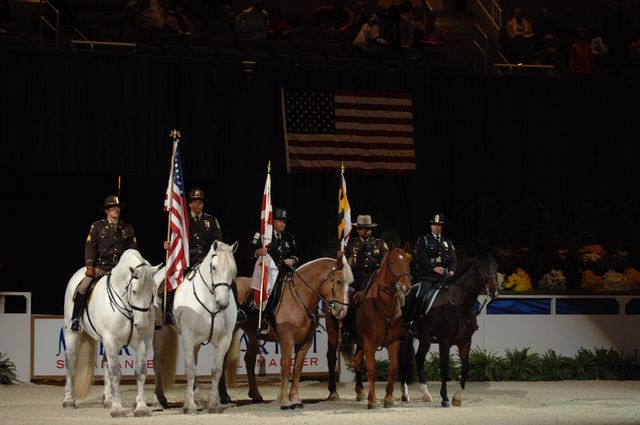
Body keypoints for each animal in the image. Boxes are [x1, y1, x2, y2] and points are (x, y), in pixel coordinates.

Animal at [62, 247, 161, 416]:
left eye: (153, 291)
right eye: (134, 291)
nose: (141, 324)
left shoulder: (142, 342)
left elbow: (140, 373)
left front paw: (141, 408)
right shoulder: (111, 340)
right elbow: (115, 374)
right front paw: (118, 409)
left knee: (105, 364)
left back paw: (108, 399)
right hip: (72, 334)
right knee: (70, 362)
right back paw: (68, 401)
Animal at [152, 240, 238, 412]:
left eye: (233, 270)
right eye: (214, 267)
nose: (222, 303)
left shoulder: (224, 340)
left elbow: (216, 370)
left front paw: (213, 404)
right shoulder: (188, 336)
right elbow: (190, 368)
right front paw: (189, 405)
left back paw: (196, 397)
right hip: (160, 332)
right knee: (157, 362)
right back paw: (159, 400)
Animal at [218, 252, 352, 408]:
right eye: (338, 281)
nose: (342, 311)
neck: (298, 298)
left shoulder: (305, 343)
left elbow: (297, 369)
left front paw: (295, 399)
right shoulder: (287, 341)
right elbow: (286, 367)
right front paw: (285, 400)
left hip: (253, 335)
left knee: (249, 361)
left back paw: (256, 395)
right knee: (223, 362)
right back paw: (224, 397)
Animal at [322, 247, 412, 410]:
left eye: (407, 262)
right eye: (392, 262)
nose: (405, 287)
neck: (382, 305)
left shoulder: (394, 343)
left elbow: (394, 368)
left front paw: (388, 398)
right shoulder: (370, 344)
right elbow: (371, 370)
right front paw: (373, 401)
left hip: (360, 343)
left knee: (357, 361)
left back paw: (360, 391)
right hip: (333, 335)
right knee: (331, 359)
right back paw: (333, 392)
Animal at [400, 253, 500, 406]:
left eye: (496, 267)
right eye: (481, 269)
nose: (494, 291)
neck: (459, 305)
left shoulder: (465, 342)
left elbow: (465, 367)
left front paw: (457, 397)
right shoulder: (445, 342)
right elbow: (444, 368)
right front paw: (445, 397)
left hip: (425, 339)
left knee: (418, 358)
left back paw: (425, 394)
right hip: (404, 336)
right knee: (402, 360)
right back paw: (405, 394)